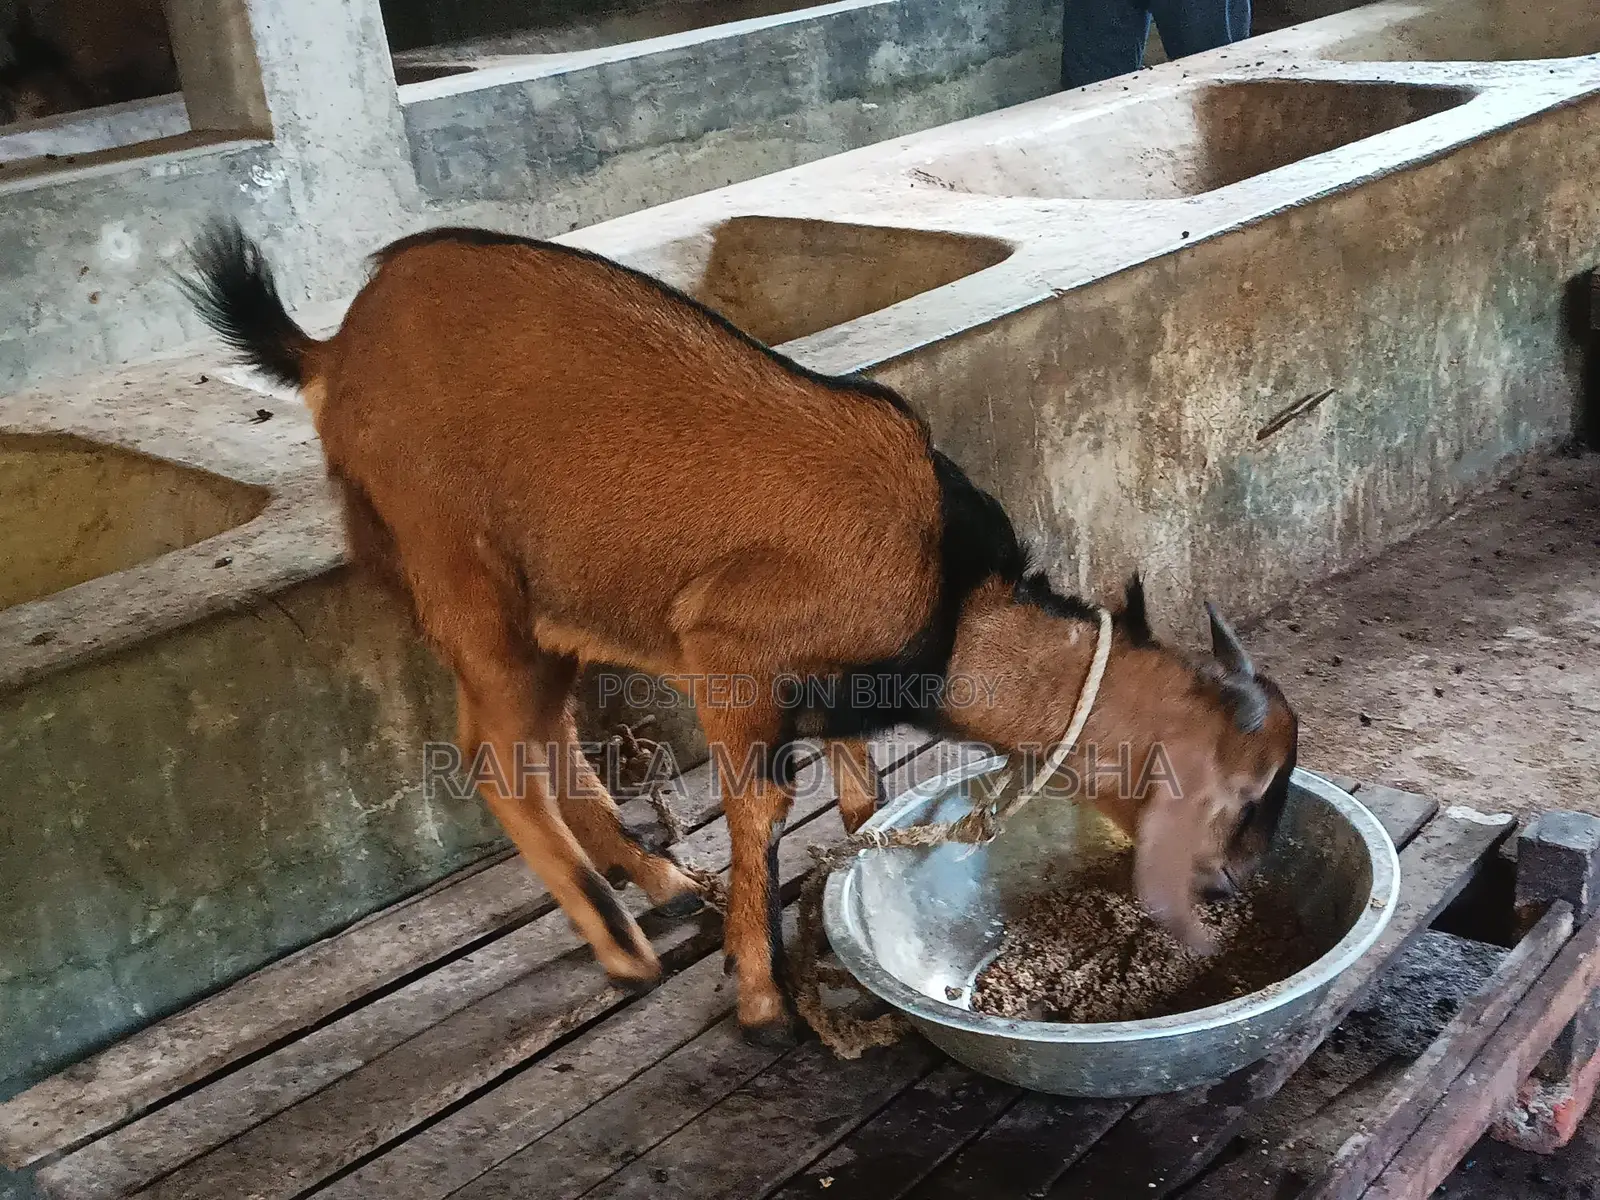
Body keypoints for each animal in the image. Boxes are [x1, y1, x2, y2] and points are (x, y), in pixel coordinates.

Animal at [180, 220, 1299, 1043]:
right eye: (1243, 796)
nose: (1235, 884)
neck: (950, 599)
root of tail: (331, 350)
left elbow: (860, 792)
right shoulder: (728, 649)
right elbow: (761, 802)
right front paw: (762, 997)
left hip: (542, 604)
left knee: (536, 732)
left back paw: (660, 880)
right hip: (464, 563)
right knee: (494, 756)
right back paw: (622, 942)